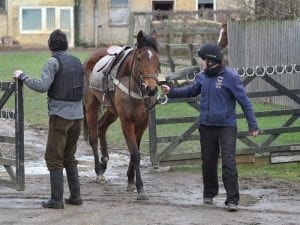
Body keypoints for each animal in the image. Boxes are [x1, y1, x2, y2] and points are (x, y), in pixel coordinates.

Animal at [82, 30, 159, 200]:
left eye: (157, 57)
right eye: (139, 58)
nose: (151, 89)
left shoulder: (142, 123)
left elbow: (134, 151)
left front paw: (130, 181)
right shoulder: (127, 122)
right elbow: (135, 153)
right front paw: (140, 188)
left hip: (112, 111)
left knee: (101, 127)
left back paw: (104, 162)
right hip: (91, 106)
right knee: (93, 137)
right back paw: (99, 172)